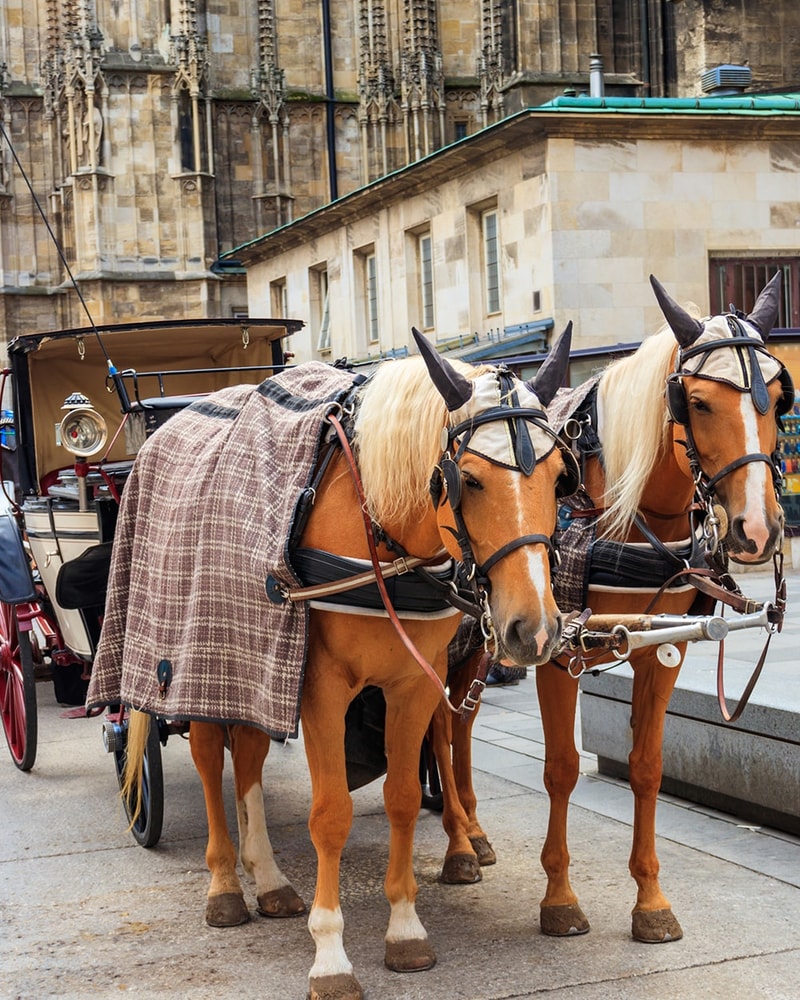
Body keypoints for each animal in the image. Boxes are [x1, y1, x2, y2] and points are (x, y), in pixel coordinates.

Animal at [122, 328, 580, 1000]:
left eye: (557, 477)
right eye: (468, 480)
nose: (534, 628)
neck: (382, 538)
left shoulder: (413, 684)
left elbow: (400, 798)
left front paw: (406, 928)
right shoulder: (320, 689)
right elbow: (330, 813)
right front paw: (331, 955)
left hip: (259, 671)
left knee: (249, 755)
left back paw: (269, 878)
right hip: (194, 661)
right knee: (210, 759)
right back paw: (226, 884)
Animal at [428, 272, 792, 936]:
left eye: (778, 400)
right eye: (698, 402)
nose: (757, 529)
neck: (629, 512)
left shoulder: (663, 644)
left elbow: (647, 766)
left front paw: (650, 901)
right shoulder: (554, 648)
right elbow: (562, 768)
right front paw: (559, 897)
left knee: (460, 722)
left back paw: (473, 829)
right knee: (440, 725)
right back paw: (459, 845)